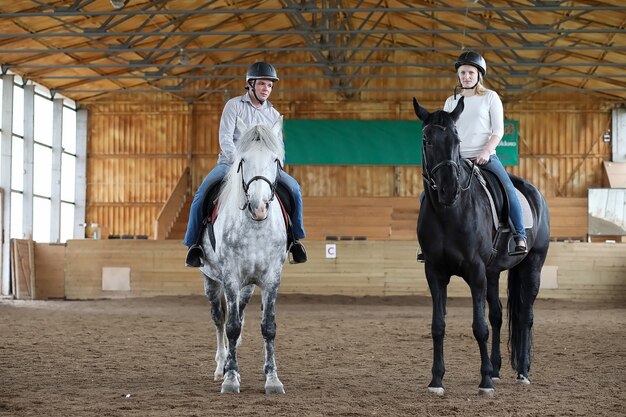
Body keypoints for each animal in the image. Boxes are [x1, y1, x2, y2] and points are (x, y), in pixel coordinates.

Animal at [199, 118, 288, 394]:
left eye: (275, 160)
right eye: (243, 160)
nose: (259, 207)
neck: (256, 225)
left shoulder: (272, 278)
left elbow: (268, 327)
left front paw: (272, 379)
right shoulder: (230, 277)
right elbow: (231, 326)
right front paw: (229, 379)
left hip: (247, 287)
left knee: (238, 314)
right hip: (211, 281)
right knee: (220, 319)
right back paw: (222, 367)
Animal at [412, 97, 548, 396]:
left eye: (457, 139)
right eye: (426, 140)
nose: (449, 190)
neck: (450, 213)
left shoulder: (475, 272)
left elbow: (479, 327)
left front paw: (484, 382)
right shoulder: (434, 272)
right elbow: (438, 325)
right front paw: (436, 380)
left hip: (533, 265)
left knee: (526, 315)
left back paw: (522, 372)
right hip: (493, 273)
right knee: (498, 315)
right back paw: (497, 370)